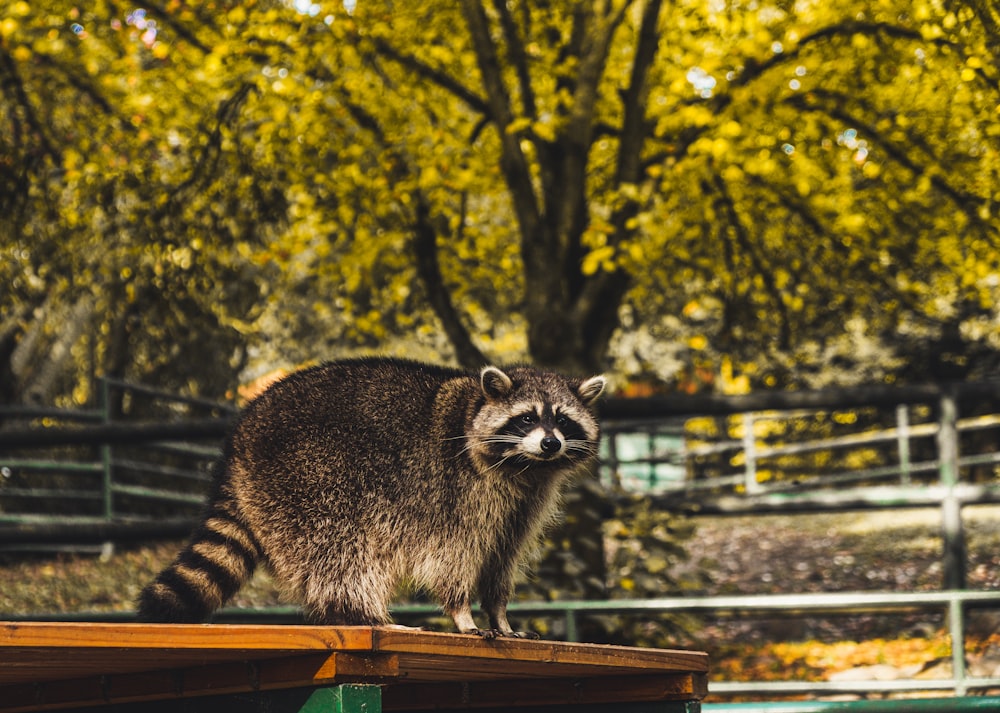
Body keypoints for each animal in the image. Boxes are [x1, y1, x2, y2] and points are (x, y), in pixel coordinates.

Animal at [137, 356, 604, 636]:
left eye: (563, 421)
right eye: (526, 419)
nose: (550, 444)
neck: (525, 467)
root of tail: (239, 439)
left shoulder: (522, 506)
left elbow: (501, 560)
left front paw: (500, 613)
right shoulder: (458, 492)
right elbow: (452, 558)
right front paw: (462, 612)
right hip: (307, 477)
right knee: (339, 552)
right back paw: (364, 615)